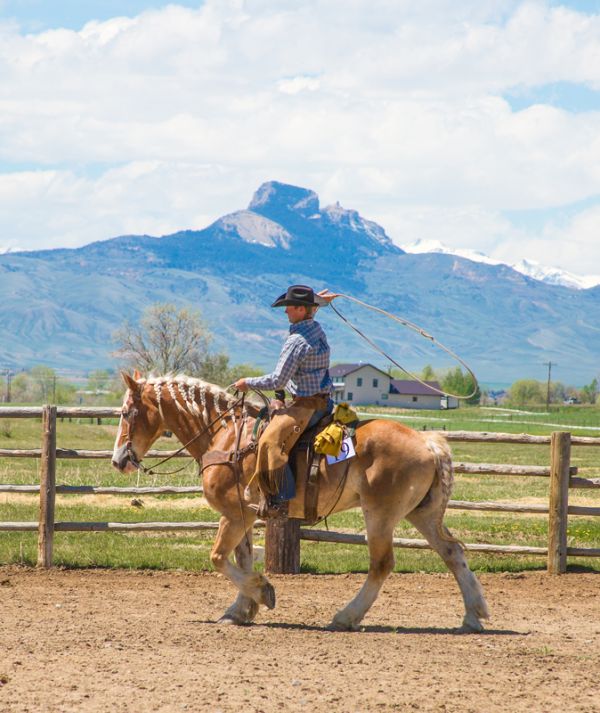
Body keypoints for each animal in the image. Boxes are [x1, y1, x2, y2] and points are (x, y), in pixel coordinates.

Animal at [112, 371, 490, 631]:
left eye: (128, 412)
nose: (119, 461)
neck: (225, 436)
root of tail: (429, 443)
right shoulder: (243, 516)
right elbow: (241, 558)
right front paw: (240, 610)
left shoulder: (232, 514)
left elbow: (219, 557)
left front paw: (262, 593)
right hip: (422, 514)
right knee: (452, 552)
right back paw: (473, 615)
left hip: (380, 515)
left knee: (382, 564)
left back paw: (346, 616)